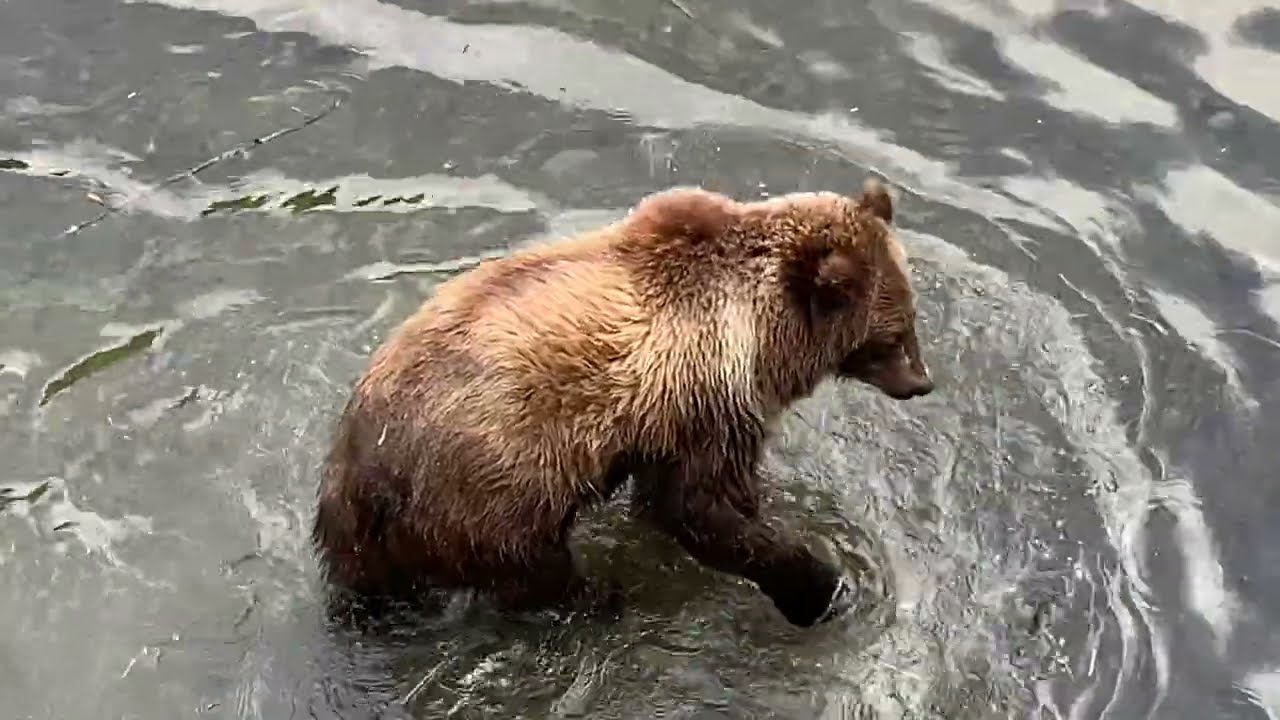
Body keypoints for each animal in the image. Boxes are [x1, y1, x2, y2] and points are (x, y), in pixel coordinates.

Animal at [312, 178, 934, 628]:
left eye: (911, 320)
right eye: (893, 335)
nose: (922, 383)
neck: (761, 332)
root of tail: (360, 469)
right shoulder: (705, 394)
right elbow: (697, 506)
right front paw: (818, 585)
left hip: (378, 529)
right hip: (490, 481)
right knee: (536, 569)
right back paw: (601, 600)